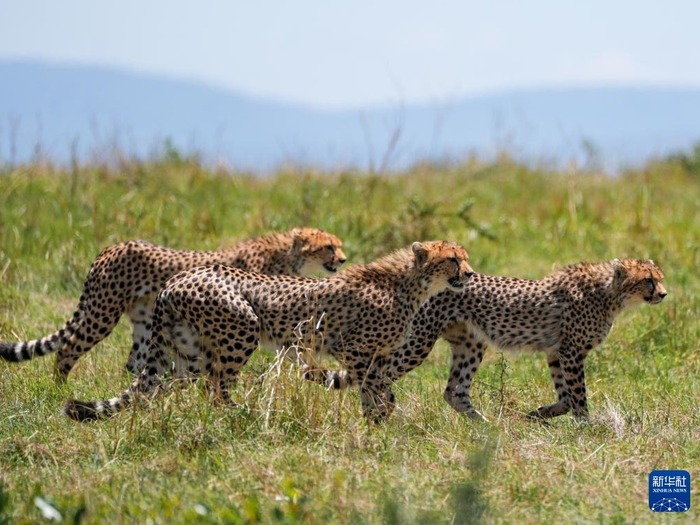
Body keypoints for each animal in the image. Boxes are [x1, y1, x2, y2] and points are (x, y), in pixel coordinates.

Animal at [1, 227, 346, 382]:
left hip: (144, 321)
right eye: (329, 246)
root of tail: (111, 247)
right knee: (68, 347)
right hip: (103, 312)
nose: (343, 259)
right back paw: (59, 387)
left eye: (338, 245)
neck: (289, 256)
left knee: (134, 362)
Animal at [64, 239, 476, 420]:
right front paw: (378, 420)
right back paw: (240, 415)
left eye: (464, 257)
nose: (471, 274)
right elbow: (374, 387)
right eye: (452, 259)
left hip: (186, 354)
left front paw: (378, 421)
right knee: (217, 387)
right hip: (241, 329)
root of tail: (179, 278)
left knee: (162, 384)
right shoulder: (354, 348)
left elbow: (377, 387)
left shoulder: (371, 354)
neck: (409, 284)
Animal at [308, 258, 668, 422]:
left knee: (454, 391)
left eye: (660, 278)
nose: (664, 294)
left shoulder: (556, 351)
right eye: (648, 280)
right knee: (377, 375)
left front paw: (538, 414)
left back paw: (484, 425)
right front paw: (586, 427)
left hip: (470, 343)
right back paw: (379, 414)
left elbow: (565, 396)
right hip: (419, 341)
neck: (610, 293)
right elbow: (578, 396)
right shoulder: (571, 351)